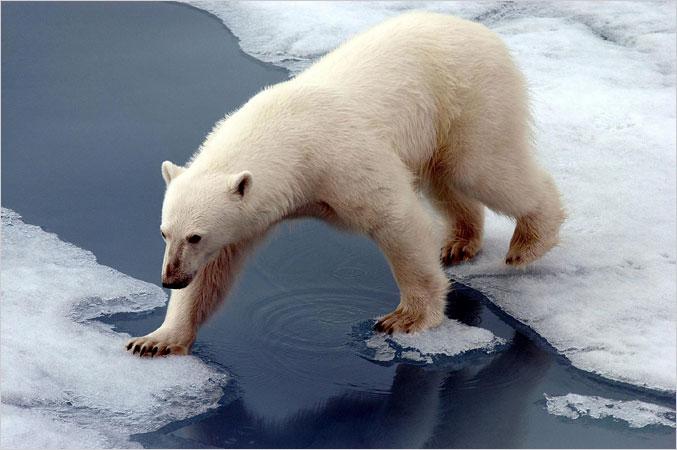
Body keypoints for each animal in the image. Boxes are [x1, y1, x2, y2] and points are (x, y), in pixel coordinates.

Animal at [126, 11, 565, 357]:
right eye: (164, 232)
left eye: (195, 235)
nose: (170, 278)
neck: (287, 136)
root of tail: (484, 33)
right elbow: (214, 273)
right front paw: (155, 340)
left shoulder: (341, 160)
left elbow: (397, 219)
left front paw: (405, 318)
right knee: (446, 181)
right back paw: (458, 242)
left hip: (470, 99)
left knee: (482, 169)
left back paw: (528, 243)